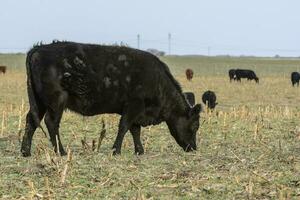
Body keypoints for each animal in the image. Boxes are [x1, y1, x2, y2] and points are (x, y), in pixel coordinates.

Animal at [19, 41, 200, 156]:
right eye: (195, 126)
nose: (193, 148)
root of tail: (38, 49)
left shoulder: (136, 110)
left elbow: (135, 130)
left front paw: (139, 151)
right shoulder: (133, 105)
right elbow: (124, 127)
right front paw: (116, 151)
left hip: (40, 102)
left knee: (31, 121)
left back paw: (25, 151)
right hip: (56, 101)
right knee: (51, 123)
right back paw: (61, 152)